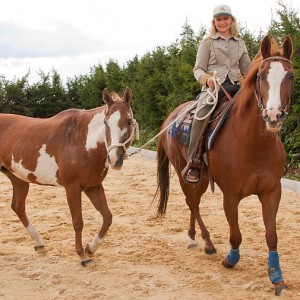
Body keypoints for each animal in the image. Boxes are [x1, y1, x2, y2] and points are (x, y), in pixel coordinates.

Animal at [0, 86, 136, 264]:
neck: (82, 141)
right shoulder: (72, 188)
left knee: (18, 206)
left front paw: (91, 248)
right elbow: (78, 222)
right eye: (106, 122)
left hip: (19, 179)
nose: (114, 159)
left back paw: (39, 243)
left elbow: (107, 217)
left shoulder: (93, 187)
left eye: (129, 121)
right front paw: (82, 255)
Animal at [156, 35, 294, 296]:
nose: (273, 116)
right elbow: (236, 234)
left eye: (290, 75)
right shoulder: (230, 195)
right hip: (184, 173)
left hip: (201, 179)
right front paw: (231, 259)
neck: (254, 143)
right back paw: (206, 242)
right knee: (192, 203)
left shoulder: (272, 191)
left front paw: (277, 277)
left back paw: (194, 237)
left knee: (194, 204)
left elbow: (272, 235)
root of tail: (171, 118)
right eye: (261, 76)